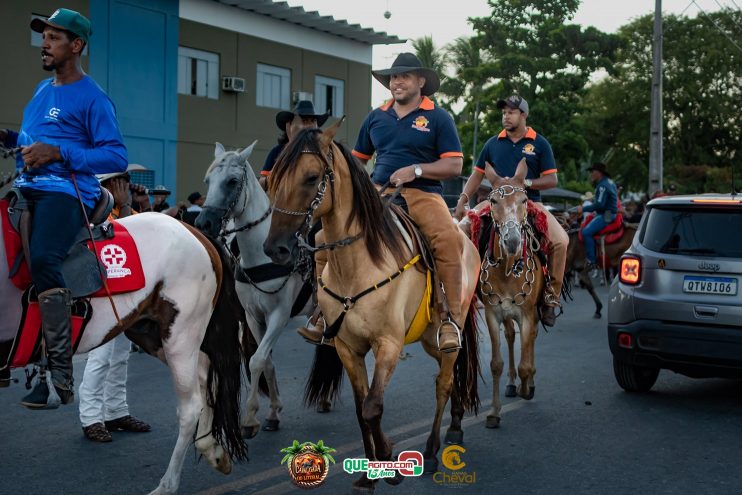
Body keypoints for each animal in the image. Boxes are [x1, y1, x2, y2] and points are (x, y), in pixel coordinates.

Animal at [0, 191, 250, 495]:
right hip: (152, 334)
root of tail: (194, 231)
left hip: (180, 336)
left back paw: (167, 485)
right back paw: (212, 450)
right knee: (205, 380)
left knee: (190, 407)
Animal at [193, 140, 318, 438]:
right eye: (208, 180)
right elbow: (266, 361)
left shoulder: (279, 316)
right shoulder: (253, 316)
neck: (261, 254)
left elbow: (257, 360)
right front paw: (273, 412)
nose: (203, 224)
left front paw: (250, 419)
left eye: (232, 181)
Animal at [264, 123, 486, 492]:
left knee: (443, 382)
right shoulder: (347, 347)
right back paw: (454, 426)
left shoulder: (388, 344)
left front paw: (391, 466)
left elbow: (373, 406)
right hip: (429, 337)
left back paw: (432, 450)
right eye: (273, 179)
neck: (357, 263)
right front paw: (369, 474)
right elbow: (360, 408)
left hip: (448, 328)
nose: (275, 248)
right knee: (450, 375)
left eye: (311, 177)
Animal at [470, 162, 548, 430]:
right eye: (493, 200)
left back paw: (529, 383)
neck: (507, 270)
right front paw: (494, 412)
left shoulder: (527, 314)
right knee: (511, 337)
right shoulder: (493, 314)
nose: (512, 241)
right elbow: (496, 364)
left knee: (531, 339)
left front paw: (527, 386)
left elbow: (525, 363)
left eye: (524, 200)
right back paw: (513, 383)